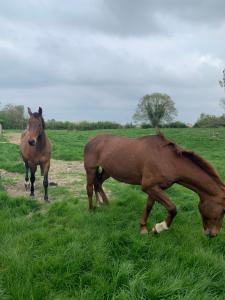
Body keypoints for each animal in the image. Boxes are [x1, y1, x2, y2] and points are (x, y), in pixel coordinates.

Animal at [84, 132, 225, 238]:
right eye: (223, 210)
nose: (213, 234)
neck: (169, 161)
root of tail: (92, 139)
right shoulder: (149, 187)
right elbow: (172, 208)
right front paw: (159, 227)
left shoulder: (155, 188)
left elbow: (149, 207)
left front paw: (144, 228)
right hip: (91, 169)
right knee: (90, 188)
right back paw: (91, 210)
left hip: (108, 170)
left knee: (98, 183)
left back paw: (104, 203)